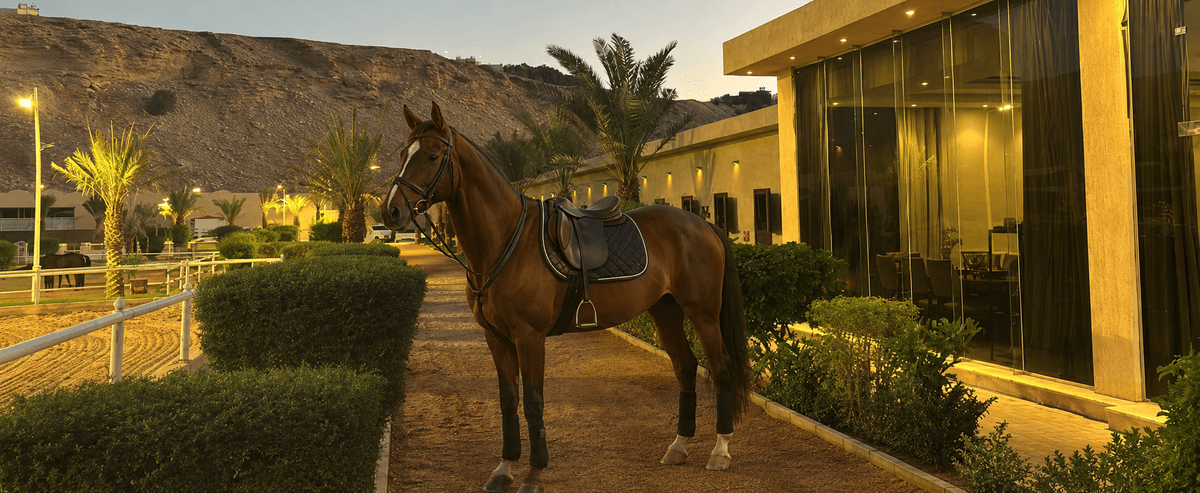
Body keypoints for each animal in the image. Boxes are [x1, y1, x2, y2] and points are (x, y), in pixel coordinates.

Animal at [381, 102, 751, 493]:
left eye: (432, 156)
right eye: (403, 155)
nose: (390, 210)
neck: (507, 241)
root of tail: (702, 224)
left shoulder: (529, 337)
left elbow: (533, 402)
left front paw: (534, 474)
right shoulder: (496, 338)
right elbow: (508, 401)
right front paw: (503, 468)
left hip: (703, 314)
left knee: (720, 368)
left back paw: (720, 451)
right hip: (665, 312)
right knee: (685, 367)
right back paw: (679, 445)